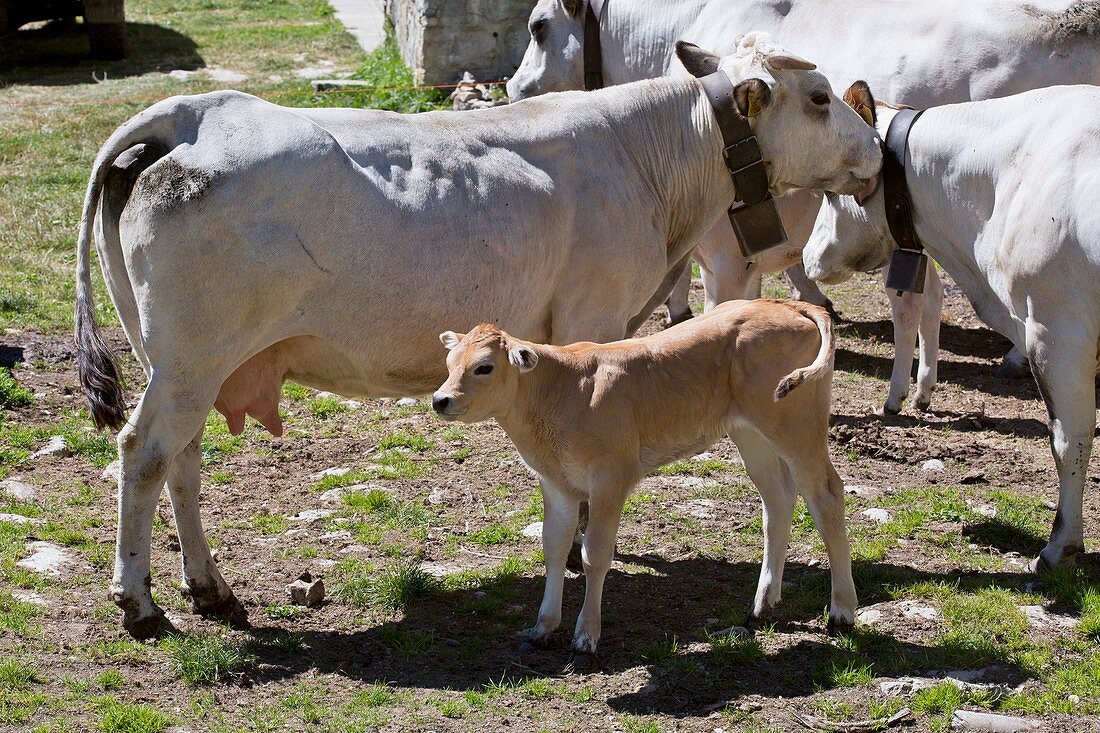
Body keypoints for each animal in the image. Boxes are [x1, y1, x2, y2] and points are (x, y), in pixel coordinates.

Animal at [429, 294, 849, 655]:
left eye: (484, 367)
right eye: (449, 365)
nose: (440, 399)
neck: (565, 390)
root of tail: (785, 304)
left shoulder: (610, 478)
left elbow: (595, 554)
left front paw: (586, 635)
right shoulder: (557, 483)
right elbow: (554, 548)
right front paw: (543, 626)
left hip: (797, 425)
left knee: (827, 495)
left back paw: (841, 613)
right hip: (751, 432)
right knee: (777, 501)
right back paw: (762, 605)